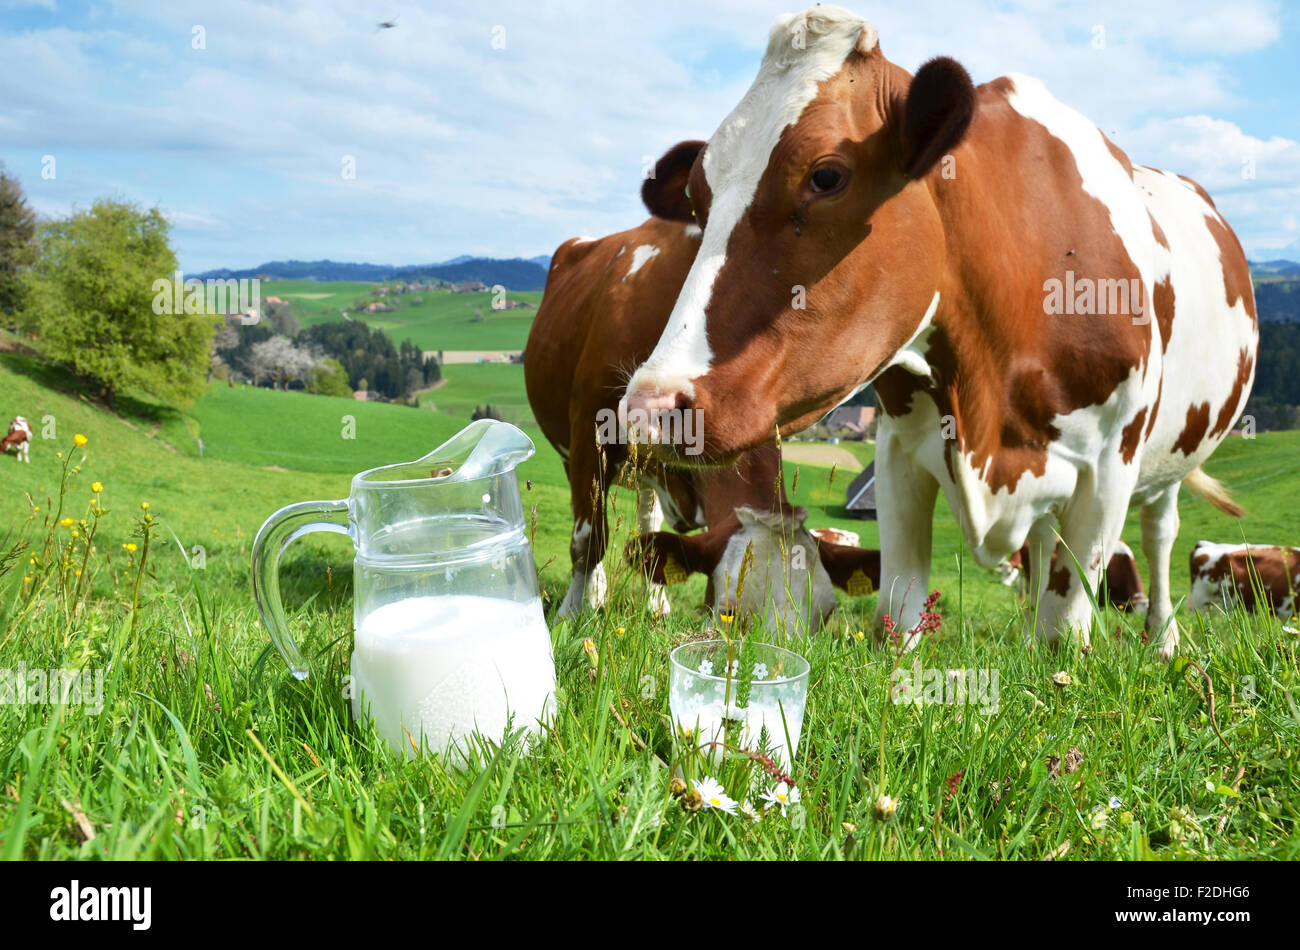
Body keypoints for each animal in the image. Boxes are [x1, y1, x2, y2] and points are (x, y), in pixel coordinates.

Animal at [522, 217, 878, 631]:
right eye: (728, 612)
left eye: (826, 615)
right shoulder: (587, 436)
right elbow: (589, 537)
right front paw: (572, 613)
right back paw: (594, 594)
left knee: (648, 526)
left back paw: (655, 602)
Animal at [624, 5, 1253, 660]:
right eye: (698, 197)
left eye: (826, 176)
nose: (651, 406)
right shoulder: (900, 446)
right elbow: (897, 612)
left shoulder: (1110, 463)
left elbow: (1066, 626)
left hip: (1170, 459)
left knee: (1159, 531)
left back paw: (1163, 637)